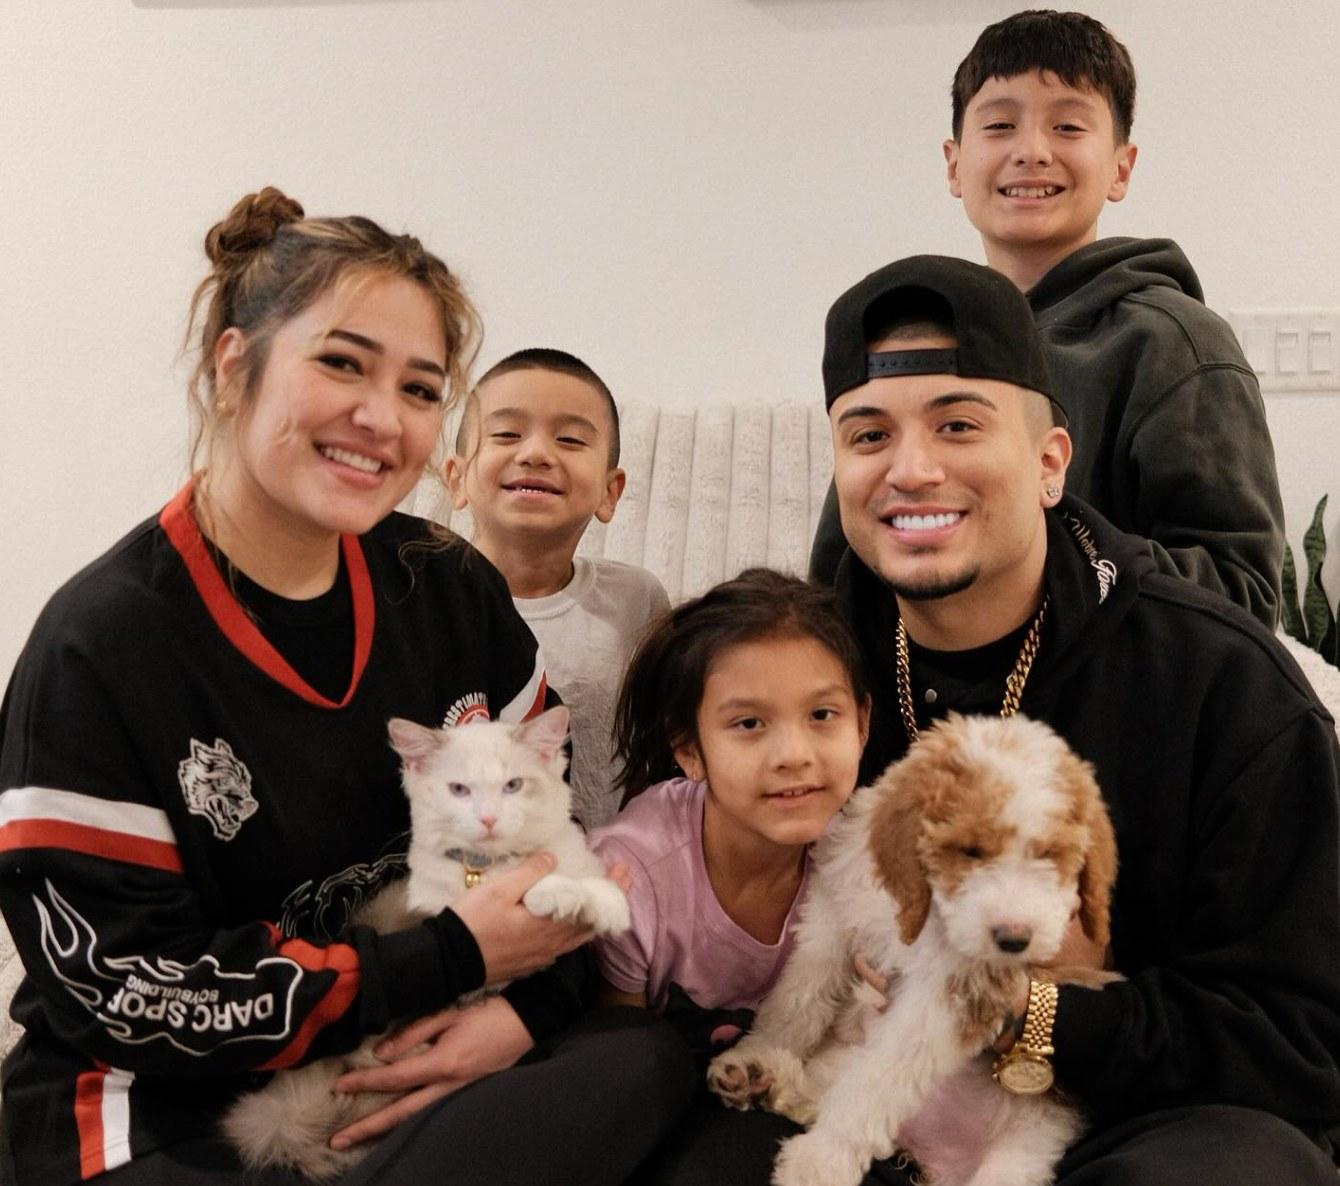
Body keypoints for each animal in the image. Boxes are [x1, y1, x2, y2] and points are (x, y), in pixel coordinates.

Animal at [223, 702, 627, 1173]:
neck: (488, 864)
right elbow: (524, 888)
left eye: (513, 785)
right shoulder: (444, 906)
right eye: (459, 790)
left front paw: (607, 905)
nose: (488, 819)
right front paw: (559, 896)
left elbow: (587, 879)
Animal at [712, 712, 1120, 1184]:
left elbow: (878, 1082)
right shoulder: (836, 914)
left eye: (1051, 854)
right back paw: (760, 1077)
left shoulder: (950, 996)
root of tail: (936, 1155)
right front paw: (756, 1048)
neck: (925, 909)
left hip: (1023, 1152)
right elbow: (797, 1001)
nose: (1015, 940)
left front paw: (820, 1162)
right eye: (971, 850)